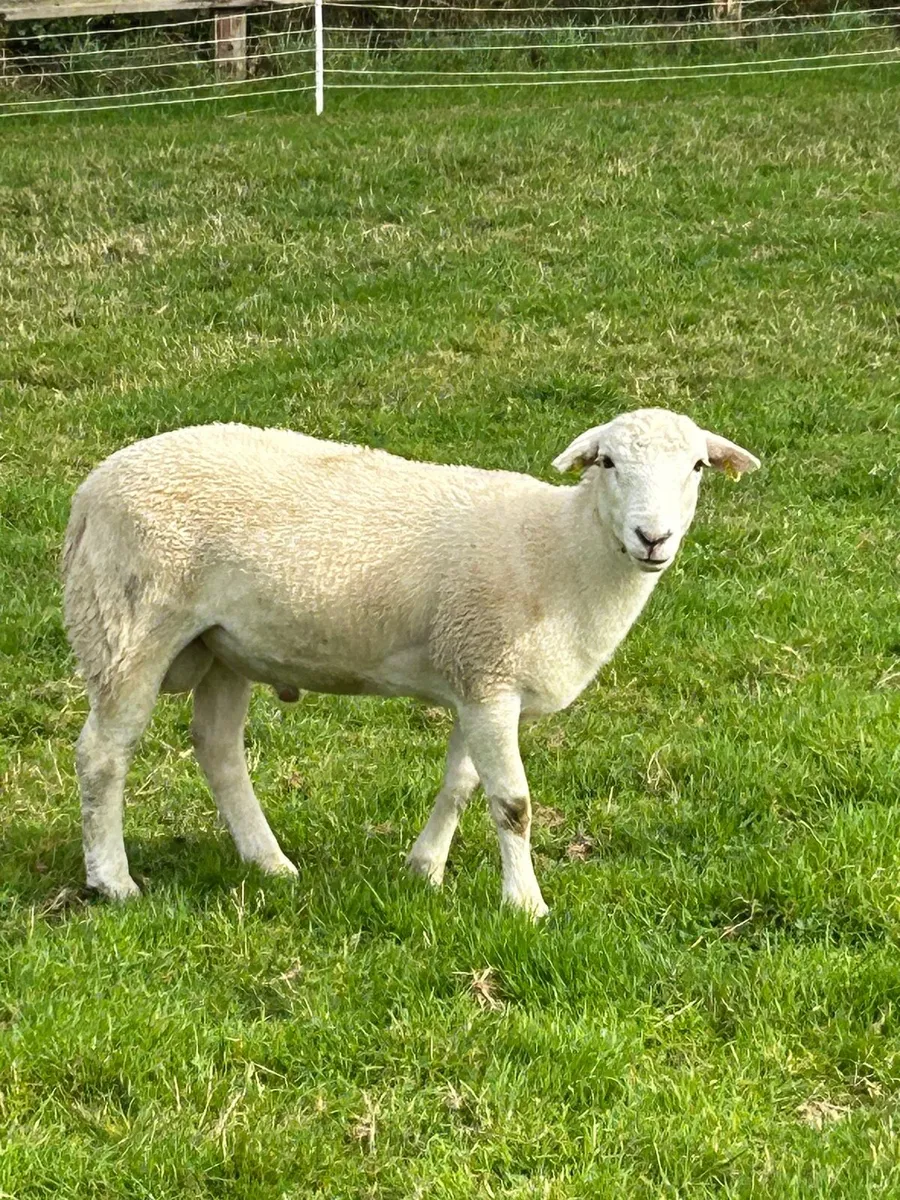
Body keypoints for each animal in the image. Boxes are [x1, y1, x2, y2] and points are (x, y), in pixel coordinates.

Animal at [62, 408, 759, 917]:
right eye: (609, 461)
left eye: (698, 465)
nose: (653, 538)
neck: (561, 552)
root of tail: (91, 490)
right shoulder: (490, 675)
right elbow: (512, 803)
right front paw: (525, 905)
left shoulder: (475, 678)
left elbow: (460, 786)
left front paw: (425, 870)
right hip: (128, 624)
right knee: (103, 754)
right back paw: (113, 881)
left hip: (224, 644)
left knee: (218, 747)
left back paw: (269, 863)